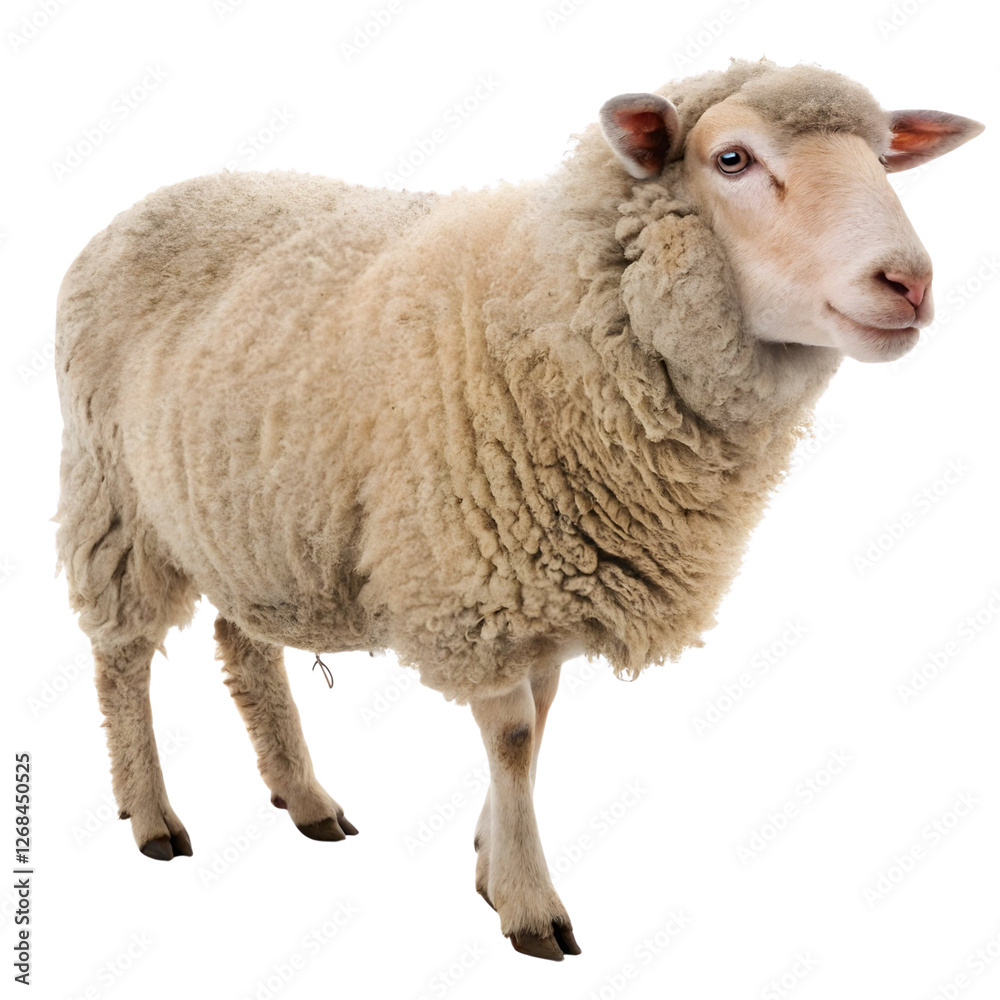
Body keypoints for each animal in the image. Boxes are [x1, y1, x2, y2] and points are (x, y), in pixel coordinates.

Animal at [53, 57, 983, 961]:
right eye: (732, 159)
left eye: (882, 159)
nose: (908, 281)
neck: (555, 311)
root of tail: (155, 198)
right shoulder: (480, 580)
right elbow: (513, 738)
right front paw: (532, 906)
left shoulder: (549, 579)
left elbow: (541, 724)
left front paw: (491, 862)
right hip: (112, 491)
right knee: (122, 656)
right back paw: (152, 816)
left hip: (248, 514)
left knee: (242, 645)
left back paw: (305, 797)